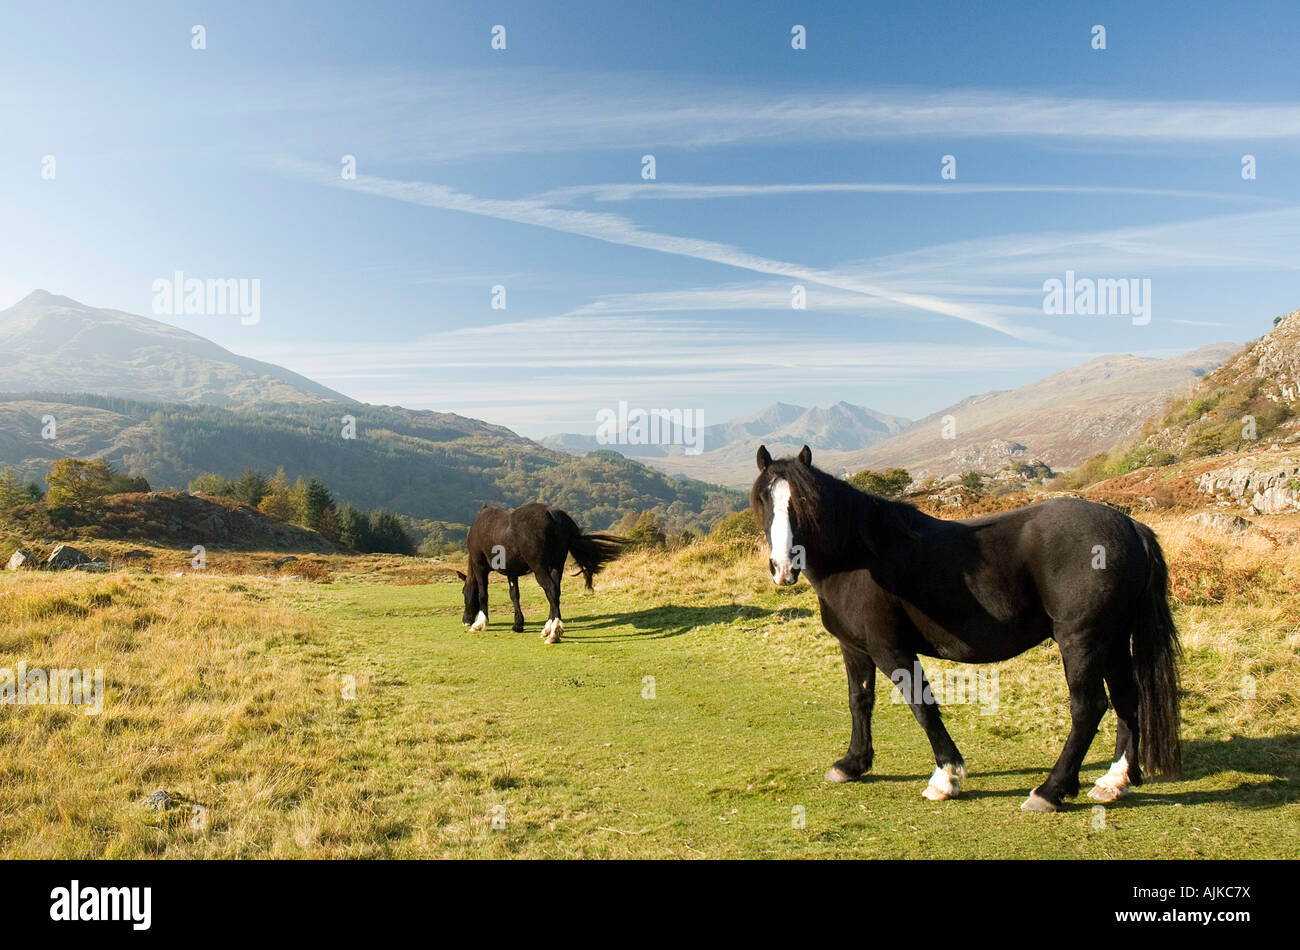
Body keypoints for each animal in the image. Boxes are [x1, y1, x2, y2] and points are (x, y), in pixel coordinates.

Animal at [457, 504, 624, 647]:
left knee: (550, 590)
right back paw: (548, 627)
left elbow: (483, 594)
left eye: (463, 592)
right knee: (555, 592)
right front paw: (518, 624)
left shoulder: (480, 567)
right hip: (557, 566)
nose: (465, 621)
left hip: (540, 569)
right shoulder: (512, 572)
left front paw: (479, 623)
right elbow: (514, 595)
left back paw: (554, 632)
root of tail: (551, 513)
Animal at [748, 444, 1185, 810]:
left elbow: (922, 705)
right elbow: (860, 702)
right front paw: (853, 763)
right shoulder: (854, 647)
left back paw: (1051, 790)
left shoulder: (891, 649)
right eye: (765, 501)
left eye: (805, 501)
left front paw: (947, 776)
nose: (783, 567)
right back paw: (1114, 781)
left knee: (1088, 708)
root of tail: (1129, 526)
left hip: (1082, 641)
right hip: (1113, 640)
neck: (859, 558)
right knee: (1128, 700)